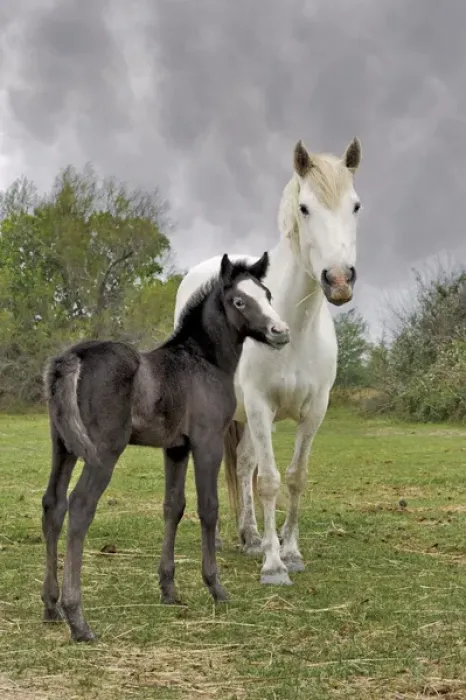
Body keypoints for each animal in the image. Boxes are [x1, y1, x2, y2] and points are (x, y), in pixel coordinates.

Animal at [41, 253, 290, 642]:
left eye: (266, 295)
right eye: (238, 301)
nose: (280, 332)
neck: (203, 360)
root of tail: (73, 357)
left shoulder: (175, 449)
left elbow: (173, 506)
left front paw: (169, 589)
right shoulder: (206, 442)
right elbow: (208, 507)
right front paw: (215, 587)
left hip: (62, 446)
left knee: (53, 504)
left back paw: (51, 606)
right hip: (103, 452)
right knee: (80, 507)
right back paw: (77, 619)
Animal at [174, 137, 362, 586]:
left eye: (356, 206)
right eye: (305, 208)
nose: (339, 280)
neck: (295, 326)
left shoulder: (313, 411)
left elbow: (293, 478)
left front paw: (288, 551)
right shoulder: (261, 406)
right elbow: (270, 482)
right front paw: (274, 565)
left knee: (243, 466)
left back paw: (250, 535)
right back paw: (222, 538)